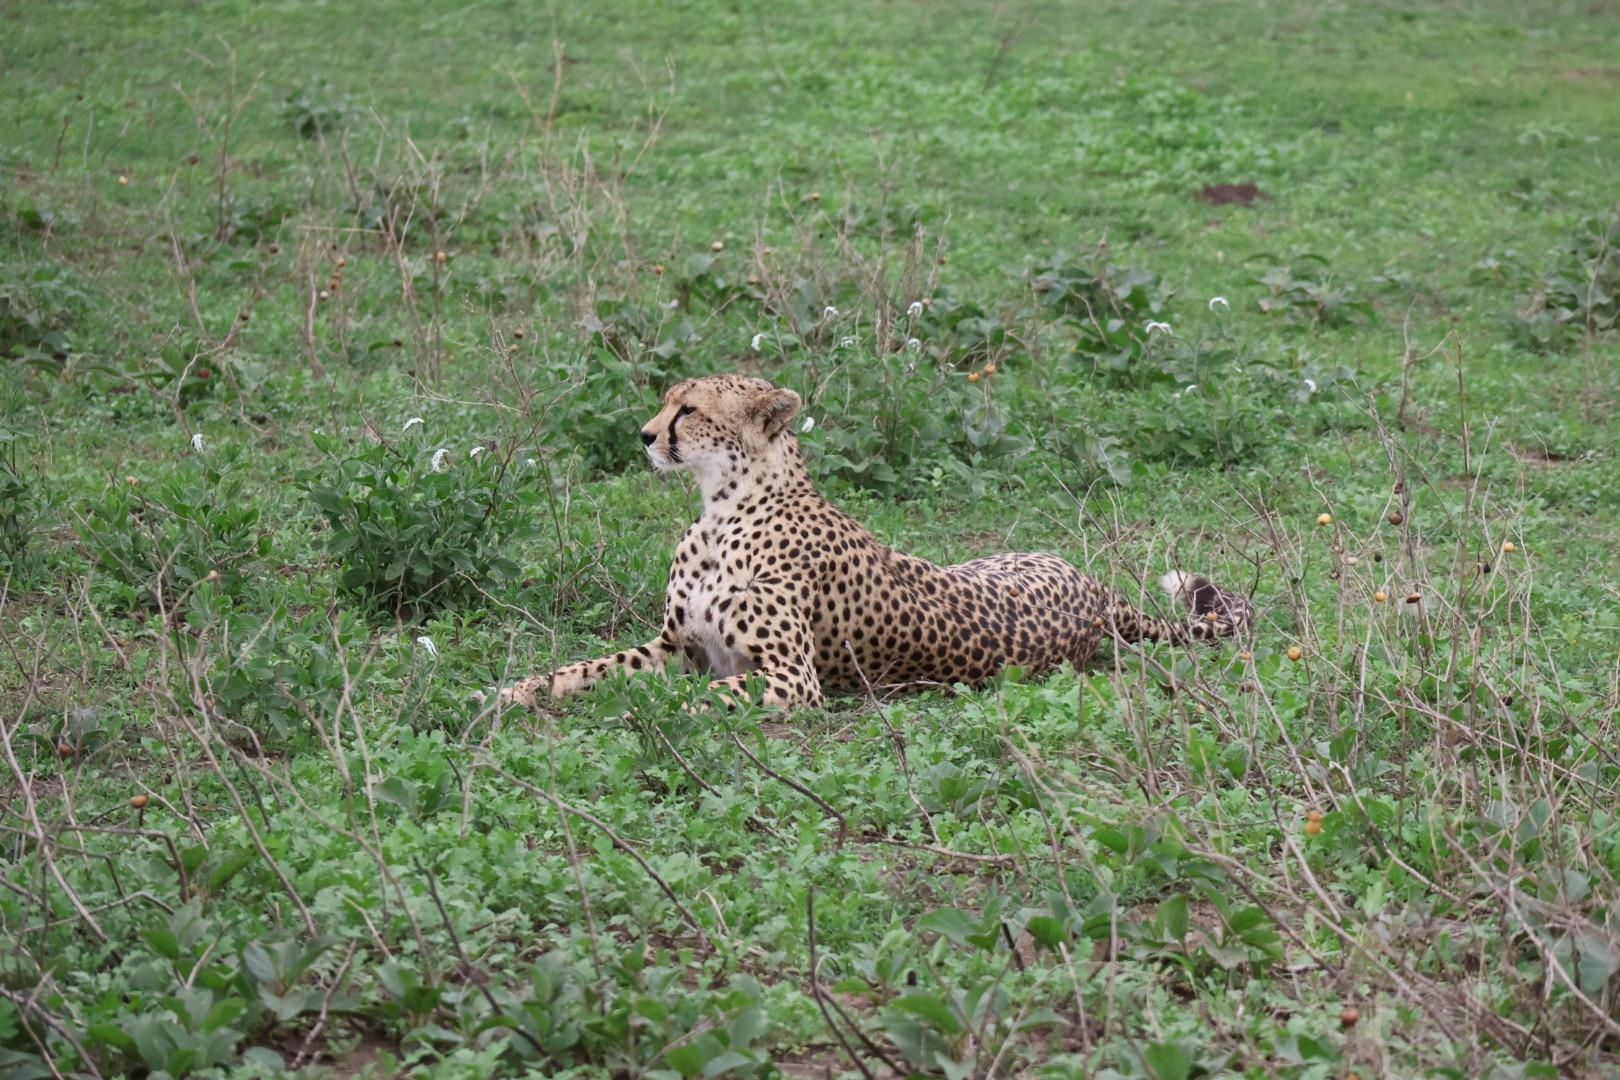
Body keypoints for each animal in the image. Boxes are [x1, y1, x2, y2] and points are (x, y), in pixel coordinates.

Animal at [488, 374, 1253, 710]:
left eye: (690, 409)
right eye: (666, 401)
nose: (646, 436)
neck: (724, 508)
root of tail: (1096, 594)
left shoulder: (789, 679)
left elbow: (689, 699)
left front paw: (632, 715)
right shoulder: (677, 646)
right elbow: (587, 668)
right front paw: (513, 690)